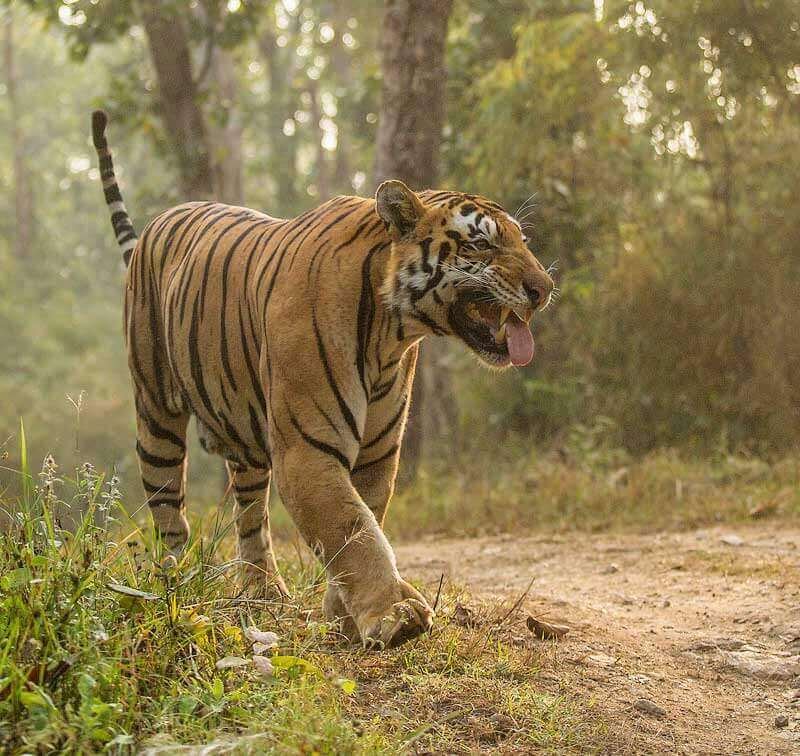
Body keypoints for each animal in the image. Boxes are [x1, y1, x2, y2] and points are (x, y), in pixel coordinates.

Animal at [94, 109, 552, 648]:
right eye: (481, 243)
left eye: (523, 240)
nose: (545, 289)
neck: (391, 334)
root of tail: (158, 221)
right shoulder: (307, 450)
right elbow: (350, 527)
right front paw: (393, 614)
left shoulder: (377, 452)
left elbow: (365, 520)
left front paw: (345, 617)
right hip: (157, 414)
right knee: (168, 513)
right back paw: (174, 588)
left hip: (246, 440)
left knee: (251, 516)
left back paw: (263, 593)